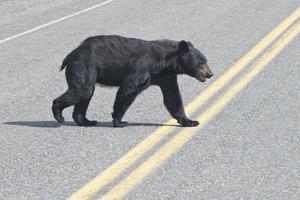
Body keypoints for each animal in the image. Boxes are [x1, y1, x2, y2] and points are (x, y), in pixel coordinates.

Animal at [51, 35, 212, 127]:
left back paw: (86, 121)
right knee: (83, 90)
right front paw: (119, 121)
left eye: (206, 61)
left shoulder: (166, 77)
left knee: (86, 94)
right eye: (201, 62)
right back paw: (59, 115)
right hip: (84, 65)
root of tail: (71, 54)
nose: (210, 73)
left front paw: (190, 121)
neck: (165, 62)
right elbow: (128, 90)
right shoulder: (143, 67)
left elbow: (173, 98)